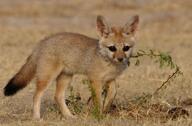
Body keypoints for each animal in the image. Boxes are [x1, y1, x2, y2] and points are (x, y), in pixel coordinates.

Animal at [3, 14, 139, 119]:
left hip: (66, 77)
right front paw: (99, 115)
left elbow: (112, 94)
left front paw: (105, 109)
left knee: (57, 96)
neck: (108, 62)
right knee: (36, 95)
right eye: (112, 48)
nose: (120, 58)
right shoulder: (94, 80)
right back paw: (36, 117)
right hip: (47, 78)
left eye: (126, 48)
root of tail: (43, 41)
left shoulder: (110, 79)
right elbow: (98, 101)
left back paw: (69, 116)